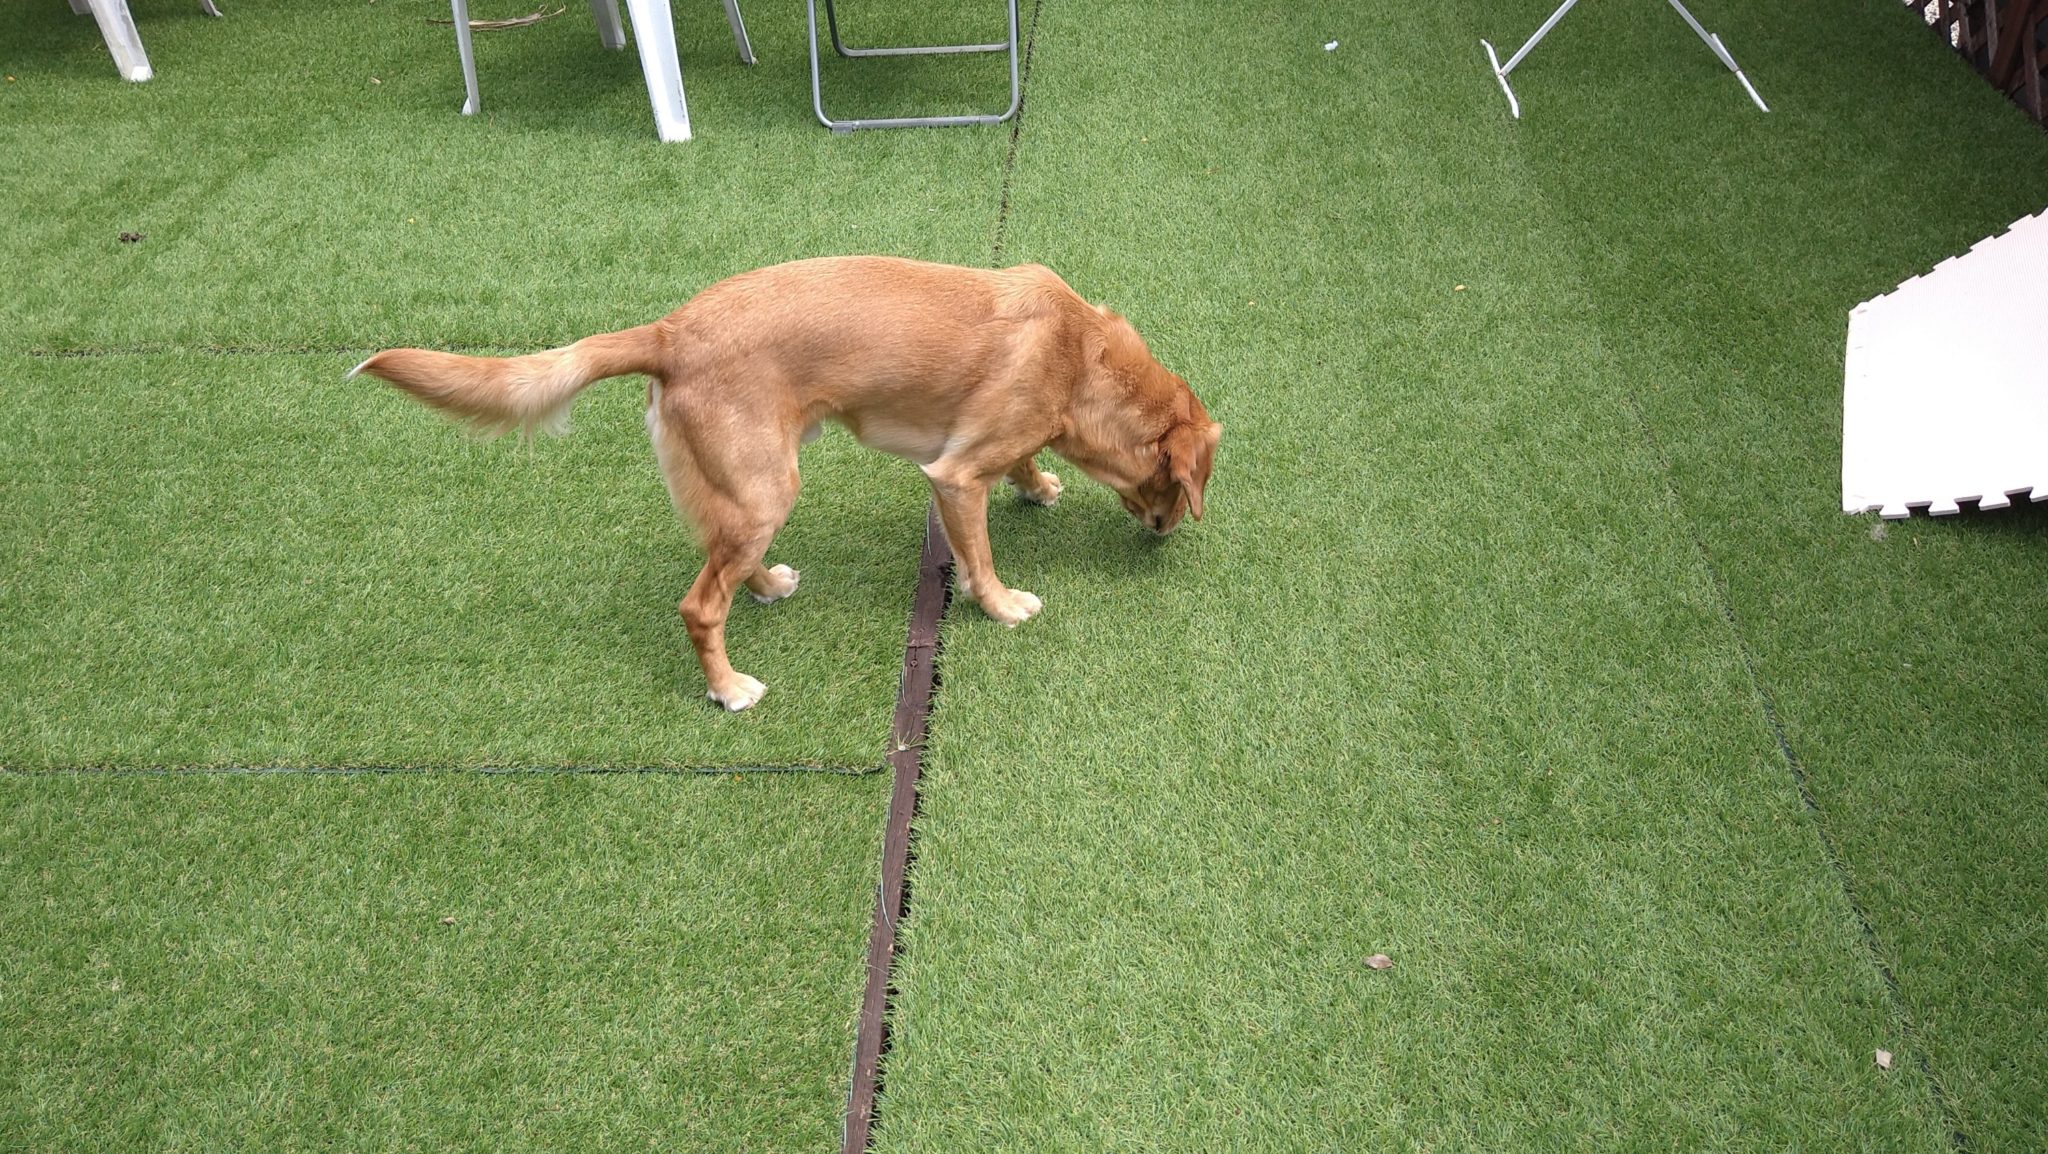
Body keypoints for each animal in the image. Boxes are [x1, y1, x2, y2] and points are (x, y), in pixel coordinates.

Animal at [351, 256, 1219, 711]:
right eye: (1180, 490)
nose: (1165, 533)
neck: (1081, 355)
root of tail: (669, 331)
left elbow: (1023, 460)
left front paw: (1037, 484)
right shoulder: (955, 475)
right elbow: (979, 557)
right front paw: (1002, 605)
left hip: (749, 488)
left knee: (721, 560)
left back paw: (767, 582)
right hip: (768, 488)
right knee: (700, 603)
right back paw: (729, 687)